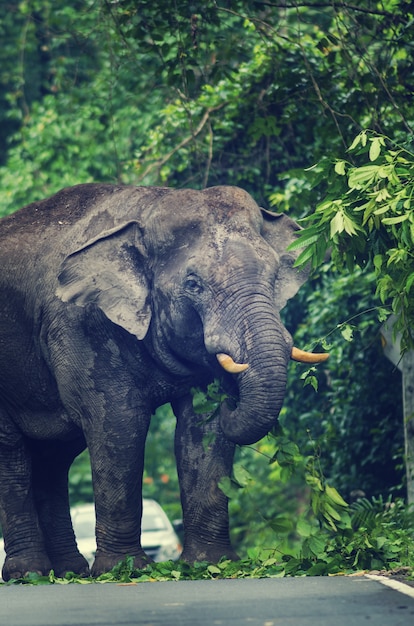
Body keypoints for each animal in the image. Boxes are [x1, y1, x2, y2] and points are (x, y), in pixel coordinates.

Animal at [0, 182, 326, 580]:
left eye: (274, 273)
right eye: (193, 284)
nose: (233, 398)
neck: (148, 207)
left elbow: (203, 428)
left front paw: (209, 564)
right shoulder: (83, 324)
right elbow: (119, 425)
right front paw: (124, 570)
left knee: (55, 457)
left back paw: (68, 573)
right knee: (13, 455)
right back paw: (28, 574)